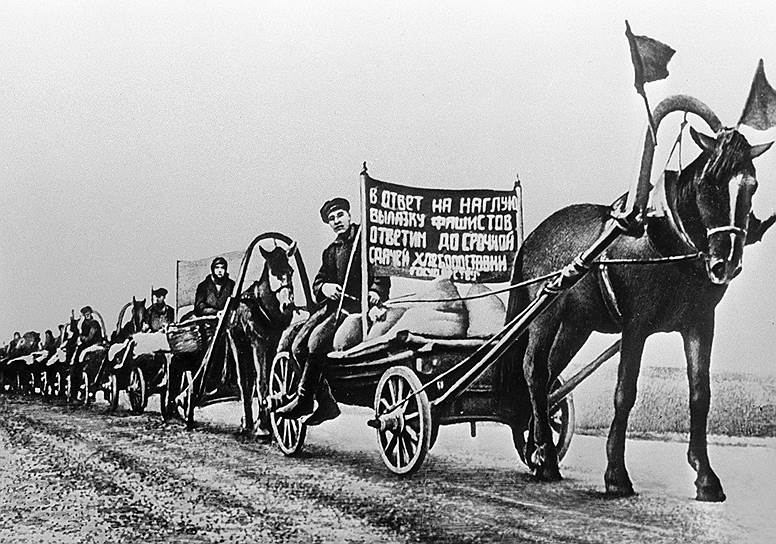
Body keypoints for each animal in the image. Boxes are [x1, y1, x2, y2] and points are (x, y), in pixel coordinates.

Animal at [506, 96, 772, 502]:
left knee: (550, 374)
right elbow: (624, 392)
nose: (725, 262)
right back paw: (547, 460)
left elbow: (700, 394)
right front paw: (616, 475)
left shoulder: (700, 324)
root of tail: (534, 236)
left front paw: (706, 477)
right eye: (709, 182)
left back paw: (538, 450)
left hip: (576, 324)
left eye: (752, 185)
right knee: (534, 371)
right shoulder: (636, 326)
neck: (672, 241)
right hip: (545, 315)